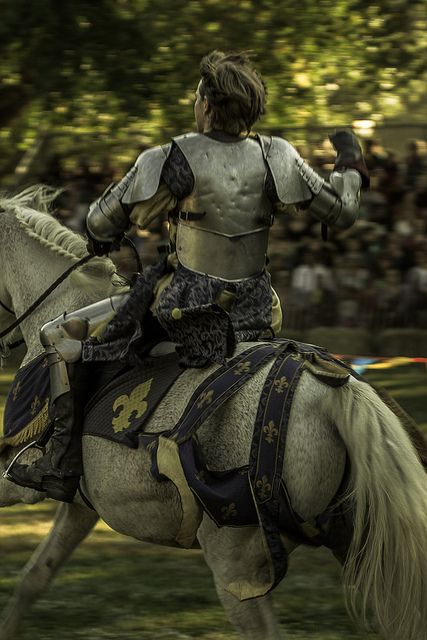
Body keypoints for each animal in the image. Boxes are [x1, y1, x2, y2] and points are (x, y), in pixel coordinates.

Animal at [0, 186, 426, 640]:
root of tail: (331, 391)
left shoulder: (22, 480)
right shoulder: (81, 506)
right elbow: (35, 577)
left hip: (235, 556)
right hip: (359, 543)